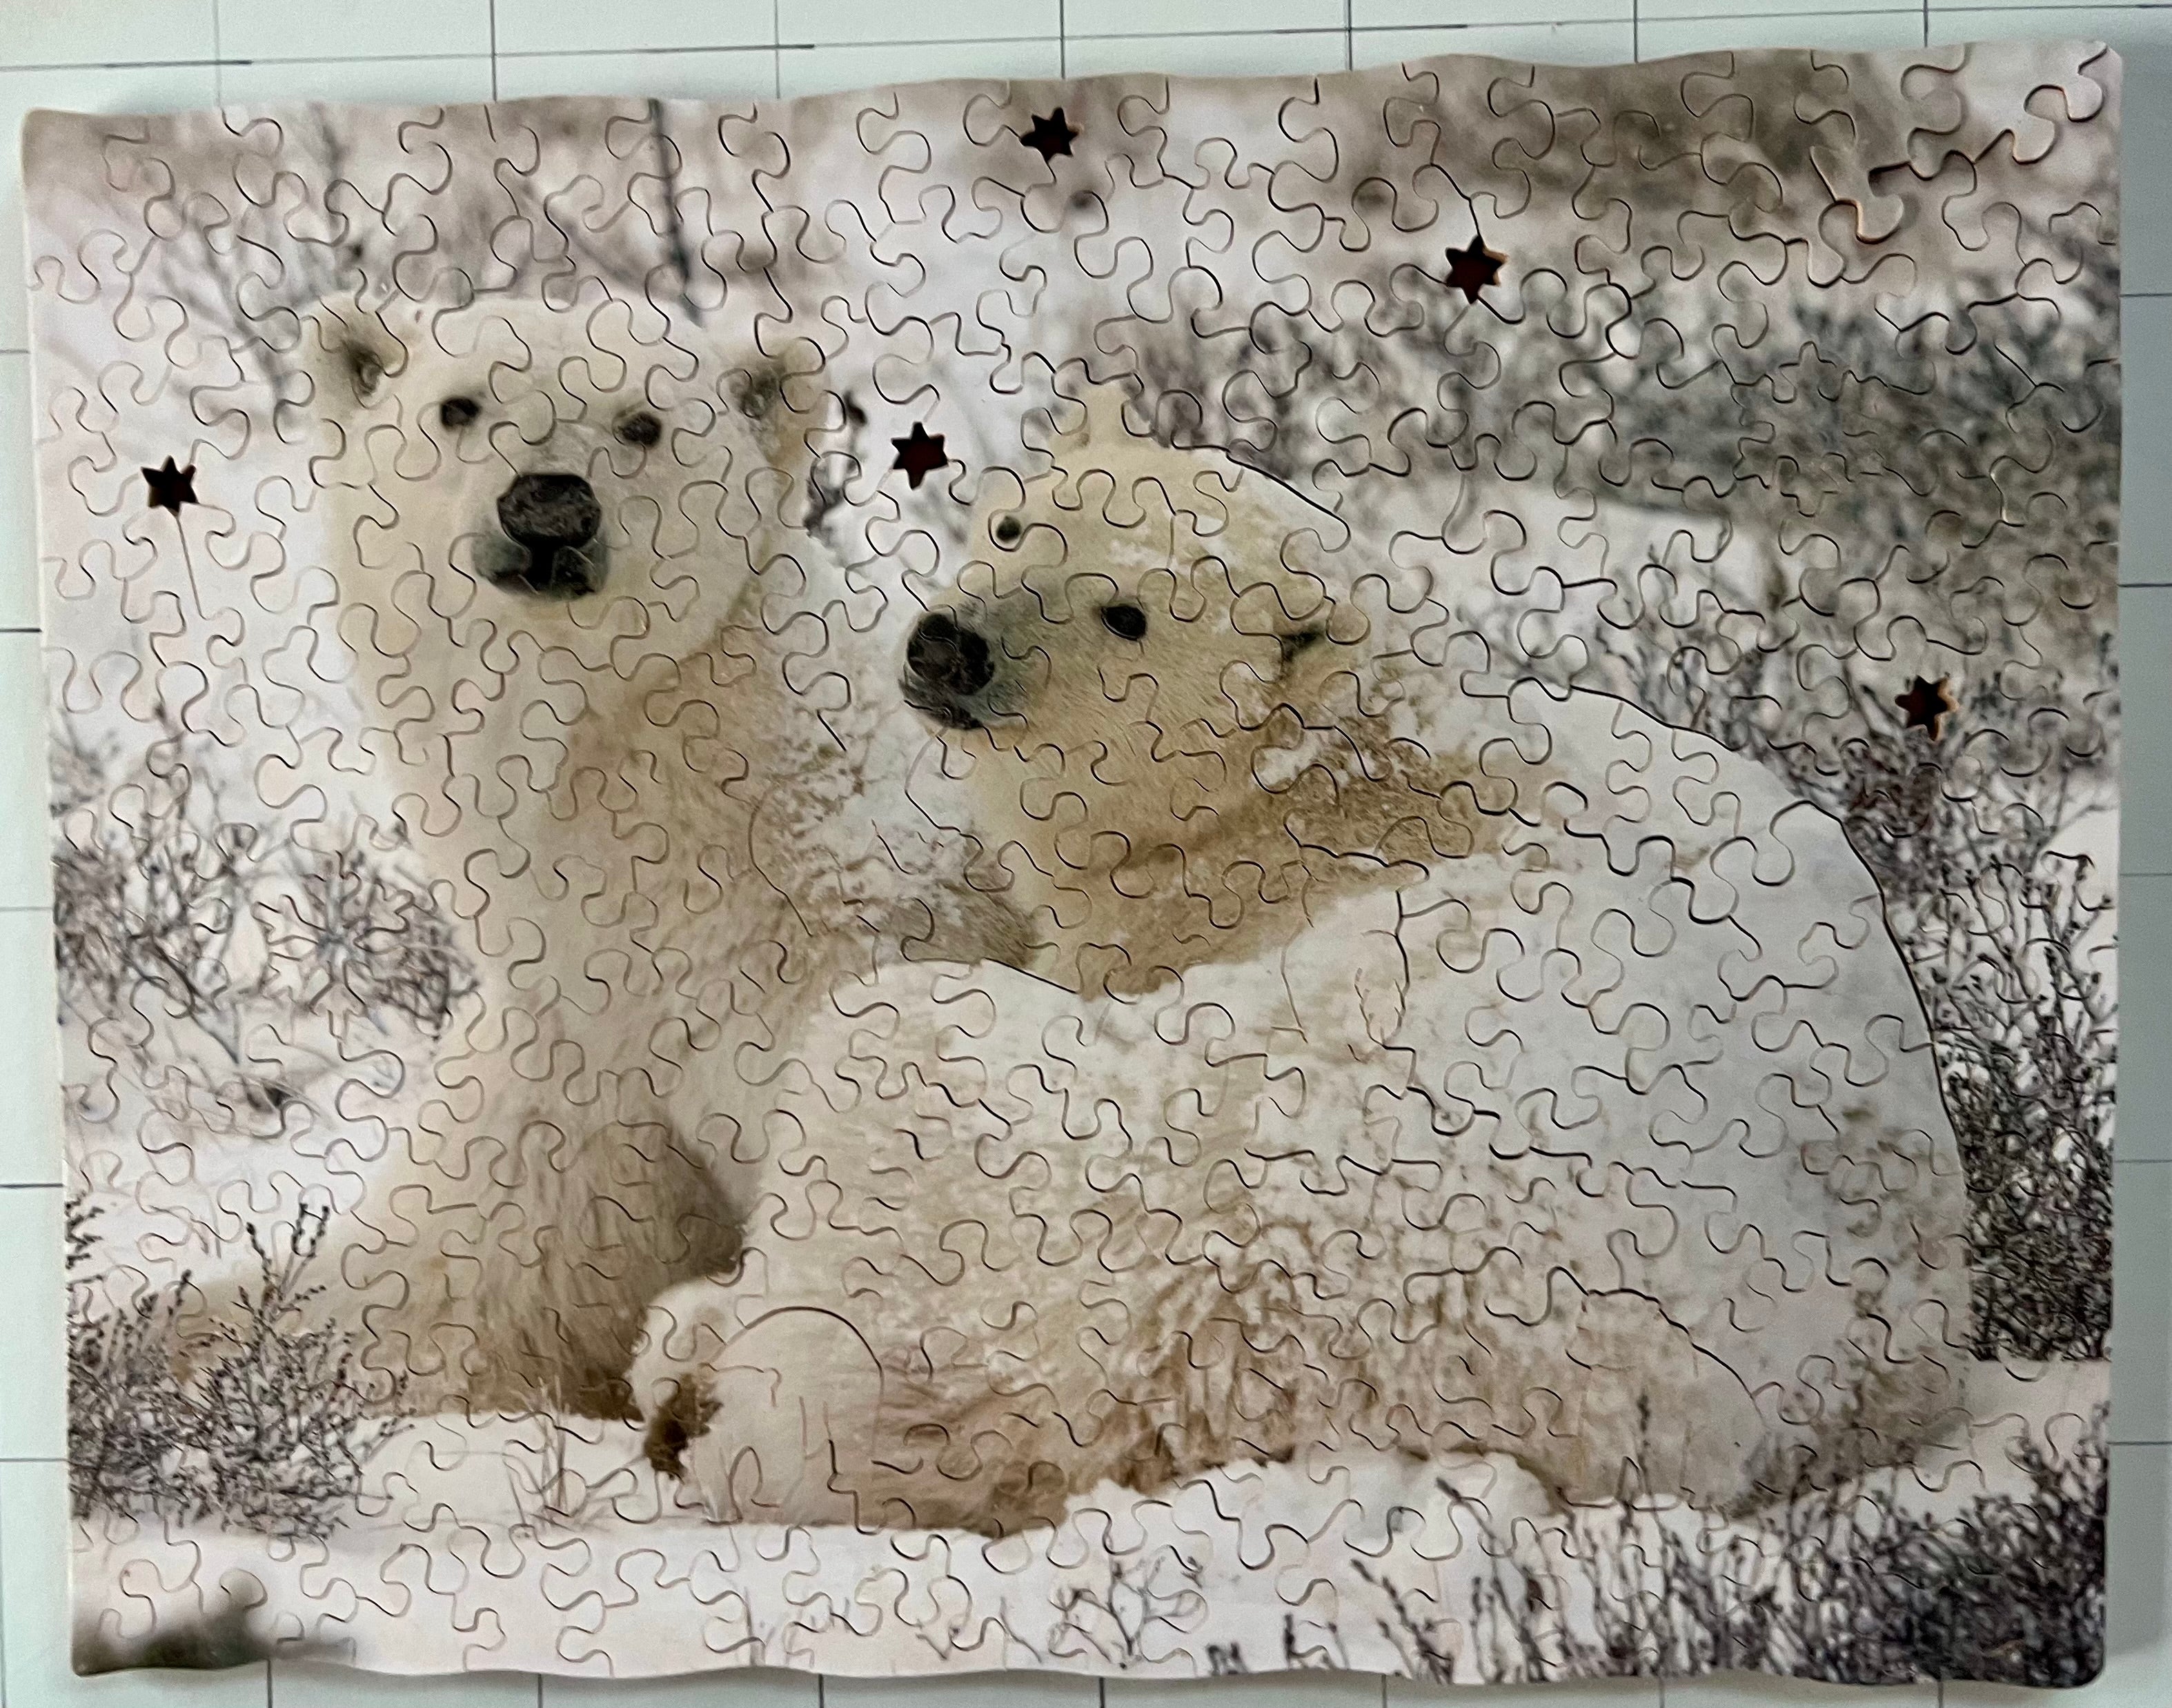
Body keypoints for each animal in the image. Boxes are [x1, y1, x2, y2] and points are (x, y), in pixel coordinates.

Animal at [286, 290, 1026, 1416]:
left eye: (642, 423)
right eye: (458, 406)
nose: (549, 507)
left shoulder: (850, 969)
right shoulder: (577, 1050)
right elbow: (473, 1274)